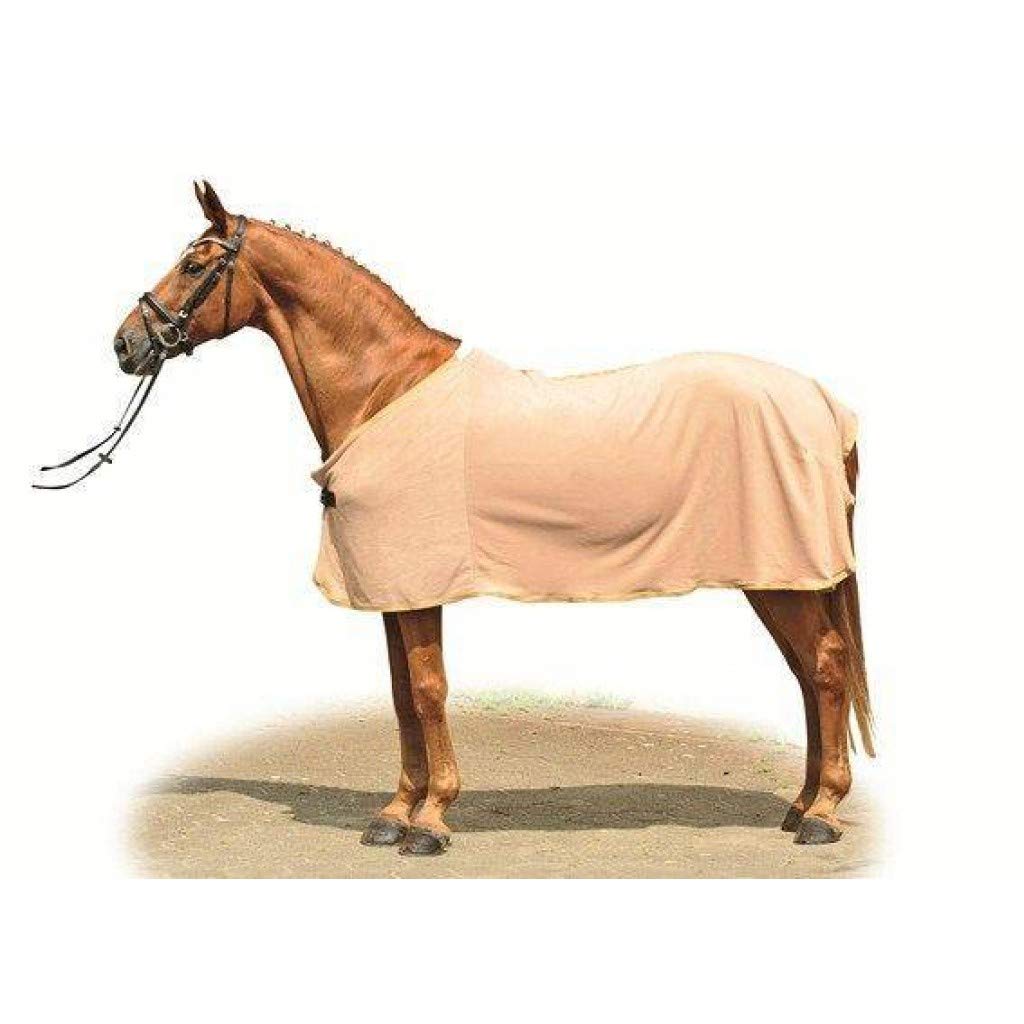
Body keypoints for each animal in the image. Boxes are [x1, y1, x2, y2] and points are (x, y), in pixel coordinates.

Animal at [99, 181, 873, 856]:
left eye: (194, 263)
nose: (126, 344)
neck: (384, 391)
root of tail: (824, 403)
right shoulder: (392, 589)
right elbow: (401, 694)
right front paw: (394, 813)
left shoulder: (418, 583)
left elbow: (428, 688)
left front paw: (431, 820)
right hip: (778, 577)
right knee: (808, 674)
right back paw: (800, 805)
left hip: (785, 576)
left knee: (827, 667)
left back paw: (823, 814)